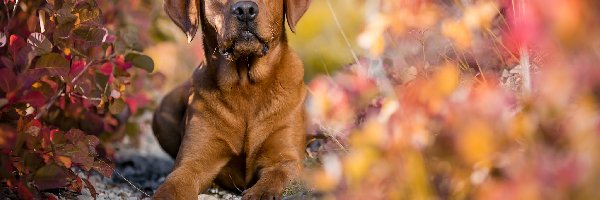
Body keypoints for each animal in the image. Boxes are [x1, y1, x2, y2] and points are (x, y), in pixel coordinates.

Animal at [150, 0, 312, 199]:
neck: (246, 86)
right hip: (163, 111)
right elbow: (172, 185)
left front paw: (259, 193)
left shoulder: (285, 159)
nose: (245, 10)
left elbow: (274, 177)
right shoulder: (190, 163)